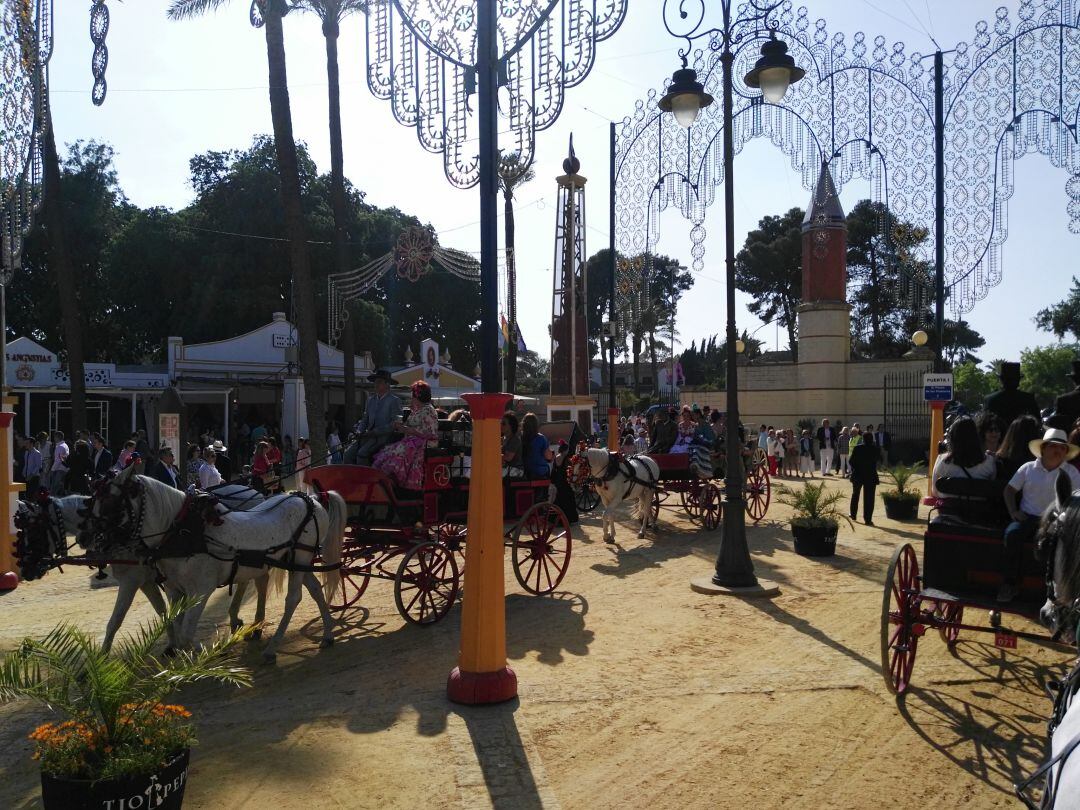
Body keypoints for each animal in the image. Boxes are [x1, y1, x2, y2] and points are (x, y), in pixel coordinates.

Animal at [85, 466, 343, 660]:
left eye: (109, 502)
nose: (92, 542)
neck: (185, 532)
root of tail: (311, 499)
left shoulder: (201, 590)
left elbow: (187, 633)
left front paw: (211, 653)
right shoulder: (174, 589)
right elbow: (176, 625)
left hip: (300, 556)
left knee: (293, 598)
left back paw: (272, 647)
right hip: (298, 560)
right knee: (315, 589)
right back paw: (328, 633)